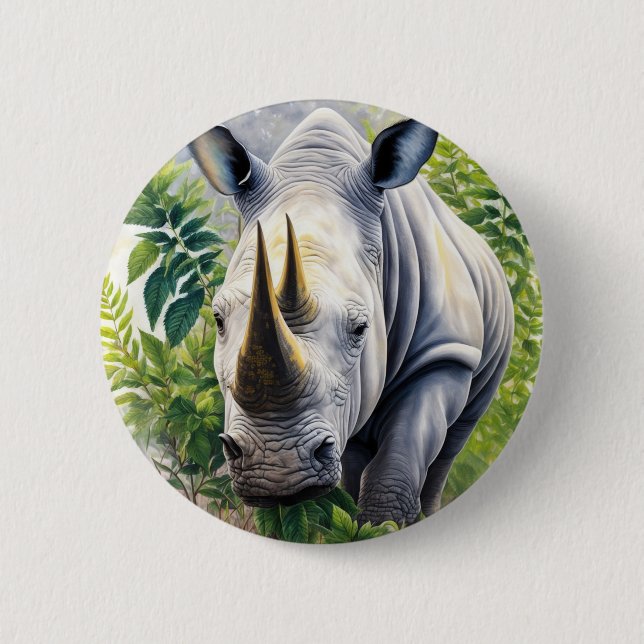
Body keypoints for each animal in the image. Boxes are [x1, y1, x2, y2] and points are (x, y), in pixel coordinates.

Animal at [188, 108, 513, 525]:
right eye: (218, 319)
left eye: (361, 329)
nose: (277, 470)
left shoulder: (444, 351)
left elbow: (398, 462)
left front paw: (383, 525)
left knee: (451, 444)